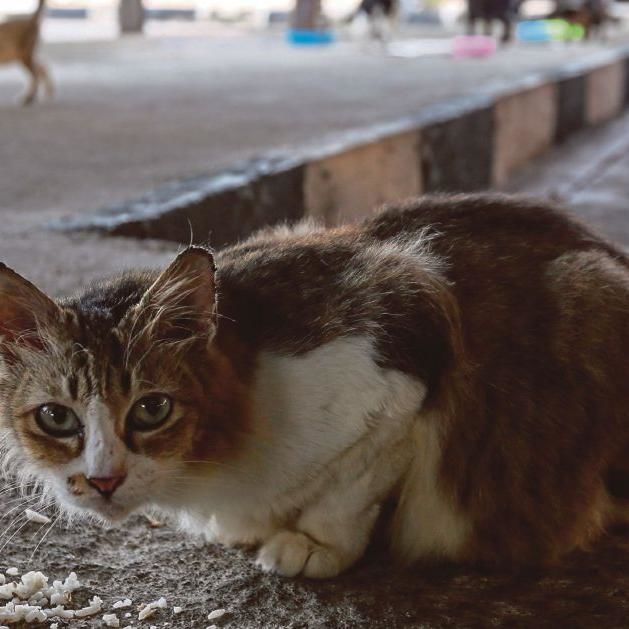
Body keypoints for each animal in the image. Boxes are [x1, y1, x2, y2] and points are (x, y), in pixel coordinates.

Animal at [1, 193, 628, 580]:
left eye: (152, 409)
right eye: (57, 418)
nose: (103, 481)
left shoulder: (407, 352)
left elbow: (349, 492)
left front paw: (311, 546)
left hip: (587, 292)